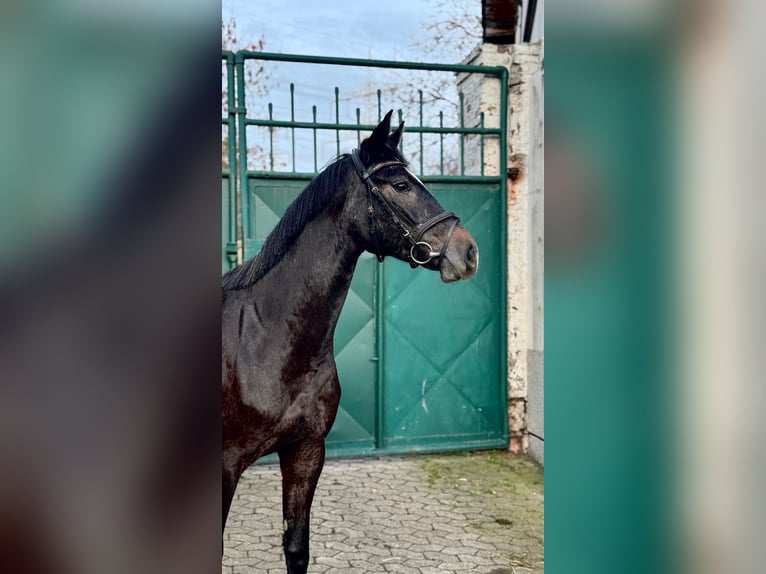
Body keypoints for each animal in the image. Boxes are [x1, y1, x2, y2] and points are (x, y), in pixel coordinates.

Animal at [221, 110, 479, 573]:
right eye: (400, 185)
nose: (468, 253)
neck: (266, 337)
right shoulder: (225, 467)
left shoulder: (306, 452)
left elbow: (296, 549)